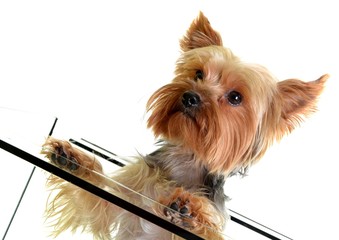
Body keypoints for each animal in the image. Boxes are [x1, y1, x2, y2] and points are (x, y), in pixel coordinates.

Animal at [40, 12, 330, 239]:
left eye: (235, 97)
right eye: (198, 73)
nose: (190, 96)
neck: (186, 159)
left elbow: (207, 223)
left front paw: (190, 208)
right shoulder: (120, 198)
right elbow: (93, 196)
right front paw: (74, 158)